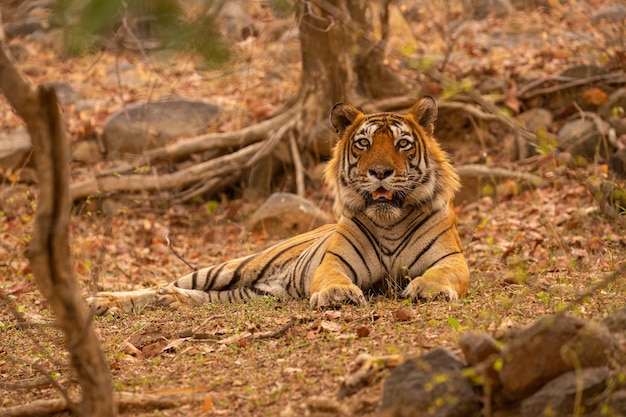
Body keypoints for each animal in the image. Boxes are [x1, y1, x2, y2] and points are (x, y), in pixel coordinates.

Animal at [88, 95, 468, 316]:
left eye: (403, 144)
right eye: (364, 143)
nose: (380, 172)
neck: (389, 221)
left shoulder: (453, 261)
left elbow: (441, 273)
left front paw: (428, 289)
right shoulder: (333, 262)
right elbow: (333, 278)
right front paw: (337, 294)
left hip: (251, 293)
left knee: (195, 296)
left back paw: (173, 302)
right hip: (229, 268)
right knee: (163, 284)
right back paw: (103, 301)